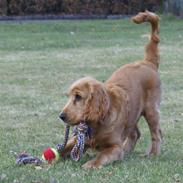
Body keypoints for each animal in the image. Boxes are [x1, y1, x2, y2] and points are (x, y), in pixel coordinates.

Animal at [58, 11, 162, 169]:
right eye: (69, 96)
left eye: (78, 97)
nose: (61, 116)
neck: (98, 122)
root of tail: (147, 62)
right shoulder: (78, 140)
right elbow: (62, 149)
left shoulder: (114, 147)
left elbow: (102, 155)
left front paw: (91, 164)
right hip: (133, 112)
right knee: (135, 133)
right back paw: (128, 150)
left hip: (151, 110)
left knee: (156, 134)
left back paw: (153, 154)